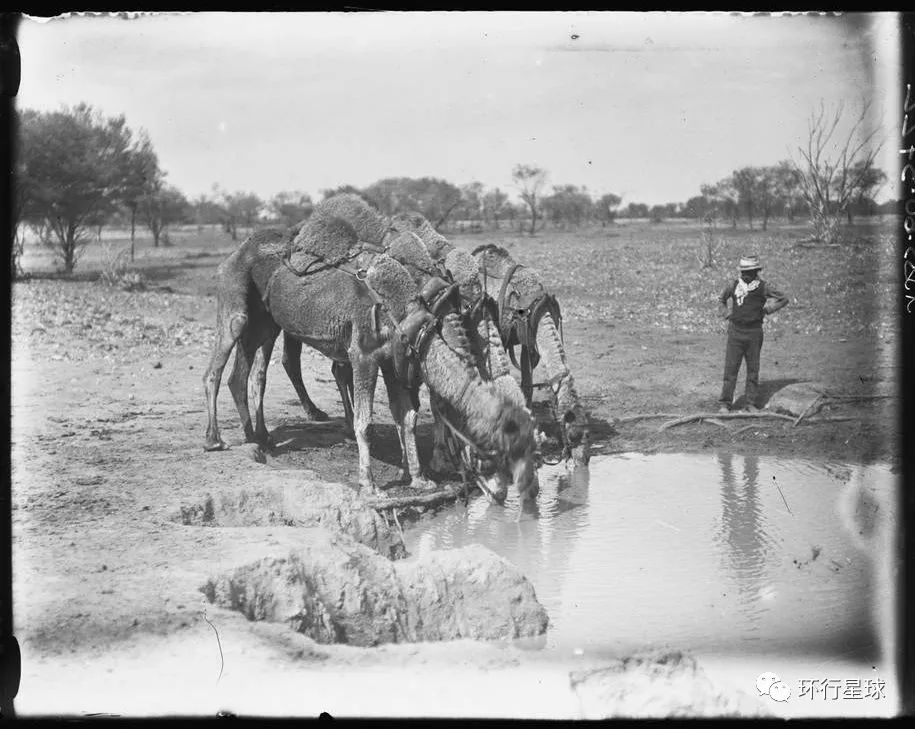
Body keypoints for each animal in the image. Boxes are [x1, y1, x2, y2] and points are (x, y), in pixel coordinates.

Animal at [203, 212, 540, 500]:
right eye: (498, 447)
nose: (511, 491)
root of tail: (237, 251)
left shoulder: (396, 359)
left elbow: (407, 416)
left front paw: (419, 478)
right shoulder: (363, 355)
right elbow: (365, 421)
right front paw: (371, 485)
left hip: (267, 322)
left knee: (245, 374)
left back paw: (258, 438)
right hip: (235, 303)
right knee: (217, 369)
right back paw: (215, 440)